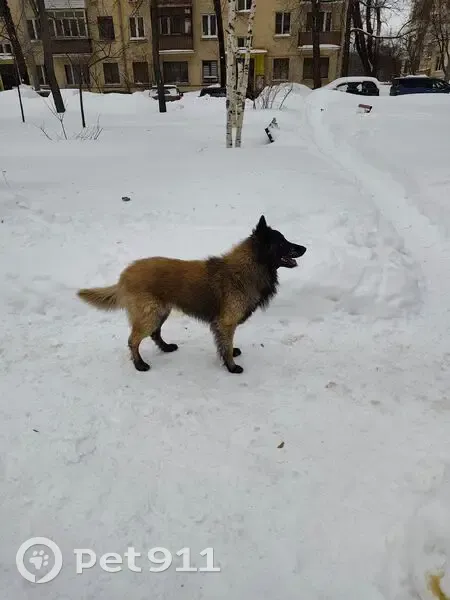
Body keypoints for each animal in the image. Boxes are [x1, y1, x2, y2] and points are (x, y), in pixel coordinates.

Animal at [77, 216, 307, 374]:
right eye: (282, 243)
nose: (304, 248)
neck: (247, 268)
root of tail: (124, 275)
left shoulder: (224, 324)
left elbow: (225, 344)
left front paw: (231, 354)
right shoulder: (226, 322)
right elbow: (225, 345)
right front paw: (232, 366)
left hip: (161, 312)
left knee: (154, 334)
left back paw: (166, 348)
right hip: (150, 315)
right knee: (133, 340)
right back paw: (140, 364)